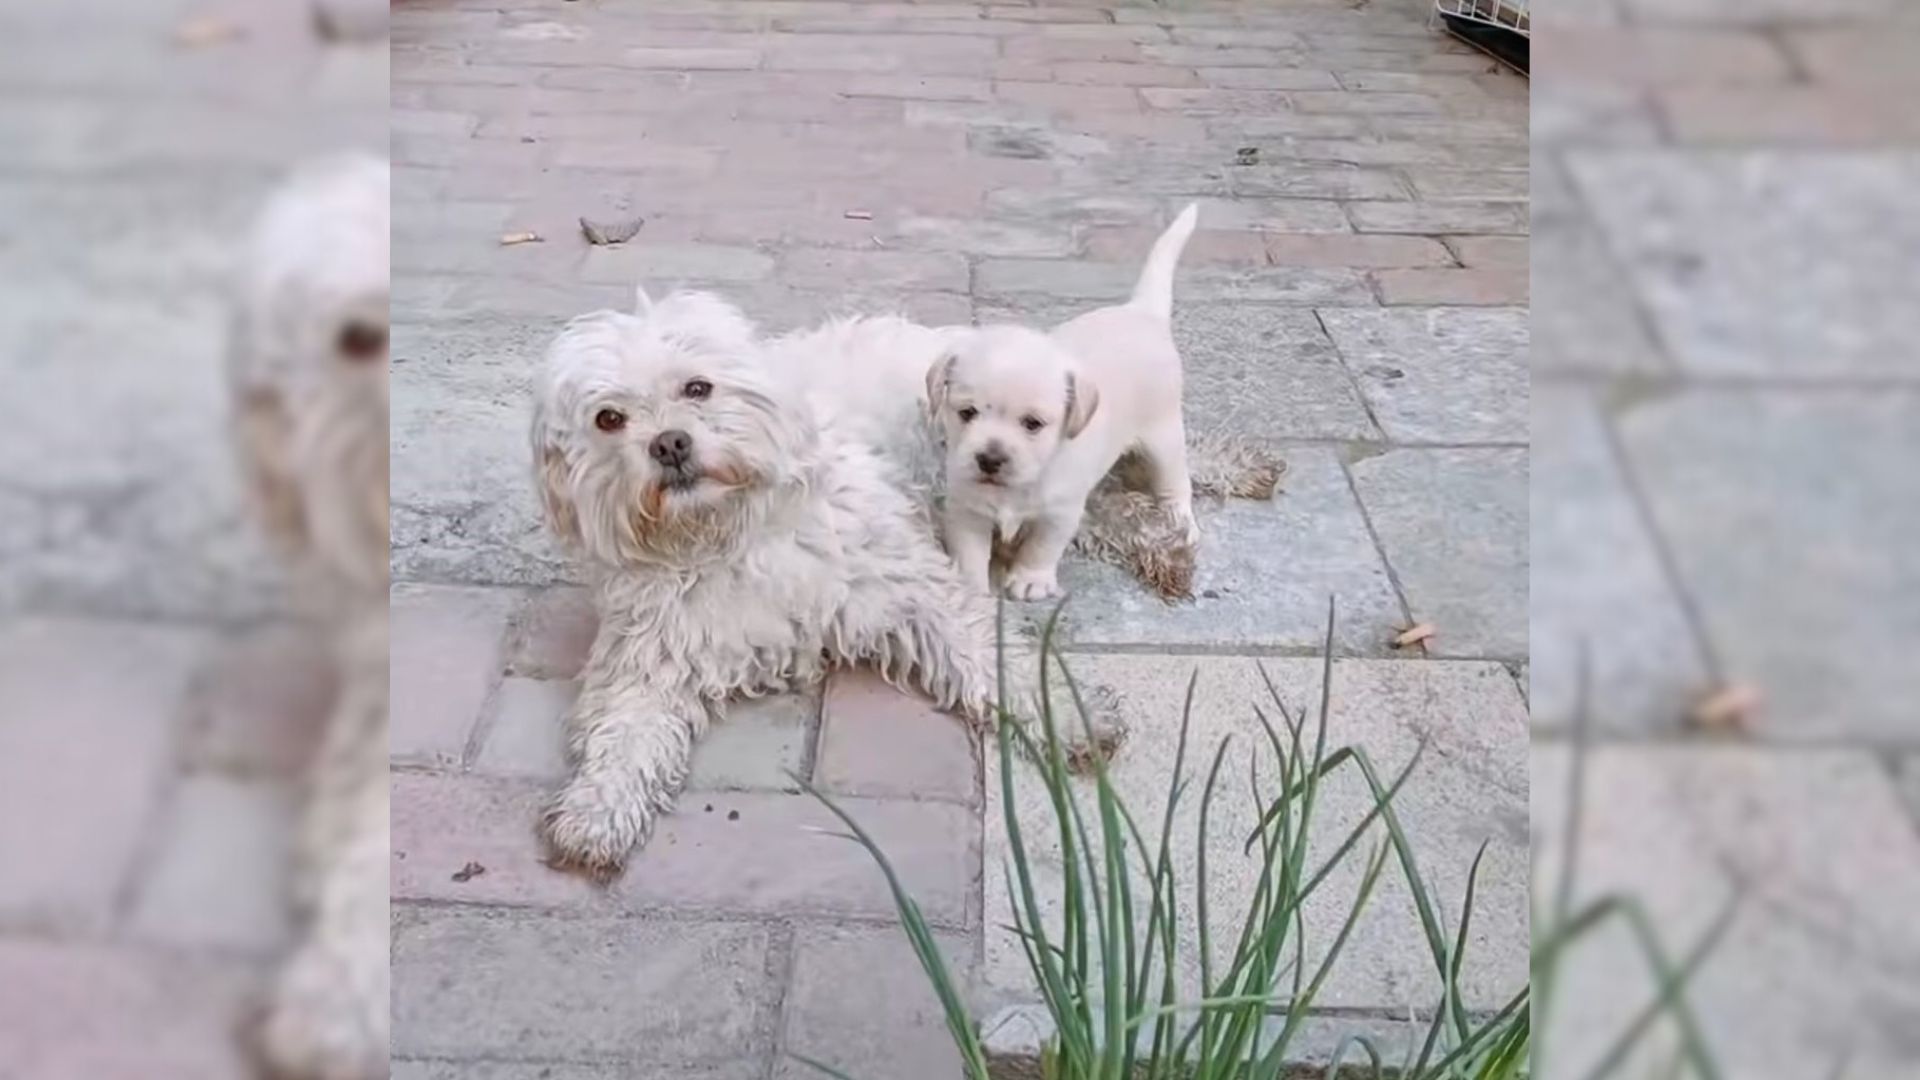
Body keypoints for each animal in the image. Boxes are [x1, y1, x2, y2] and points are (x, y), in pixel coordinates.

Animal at [929, 201, 1198, 595]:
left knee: (1176, 484)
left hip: (1163, 435)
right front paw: (968, 588)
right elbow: (970, 551)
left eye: (1033, 424)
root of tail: (1141, 311)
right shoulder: (967, 508)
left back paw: (1182, 524)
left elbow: (1042, 546)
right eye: (967, 413)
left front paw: (1030, 580)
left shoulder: (1060, 513)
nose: (989, 460)